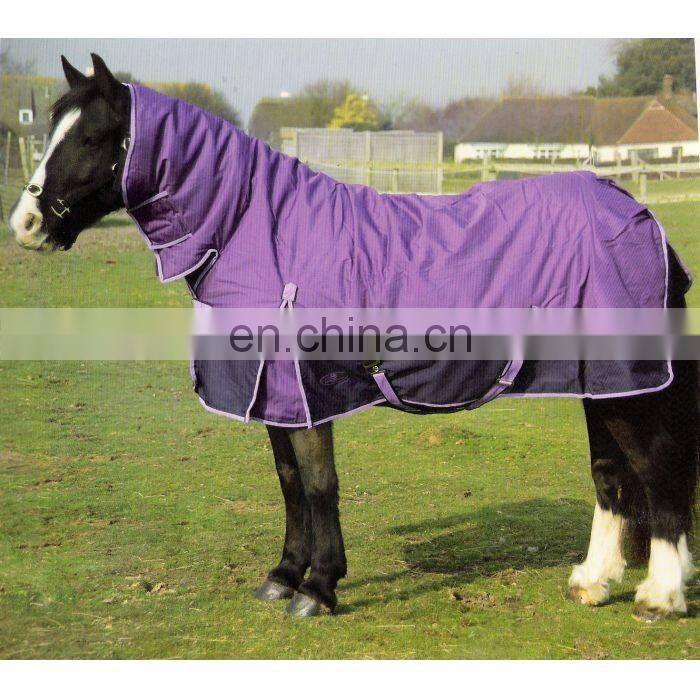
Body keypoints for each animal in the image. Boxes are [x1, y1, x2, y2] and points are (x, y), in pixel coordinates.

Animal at [9, 54, 697, 620]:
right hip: (602, 384)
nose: (26, 223)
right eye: (51, 129)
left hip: (628, 386)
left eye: (93, 136)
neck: (260, 229)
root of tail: (642, 220)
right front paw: (284, 576)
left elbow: (319, 484)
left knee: (657, 470)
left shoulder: (308, 390)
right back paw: (592, 583)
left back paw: (658, 597)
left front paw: (319, 589)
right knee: (611, 476)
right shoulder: (277, 395)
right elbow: (288, 481)